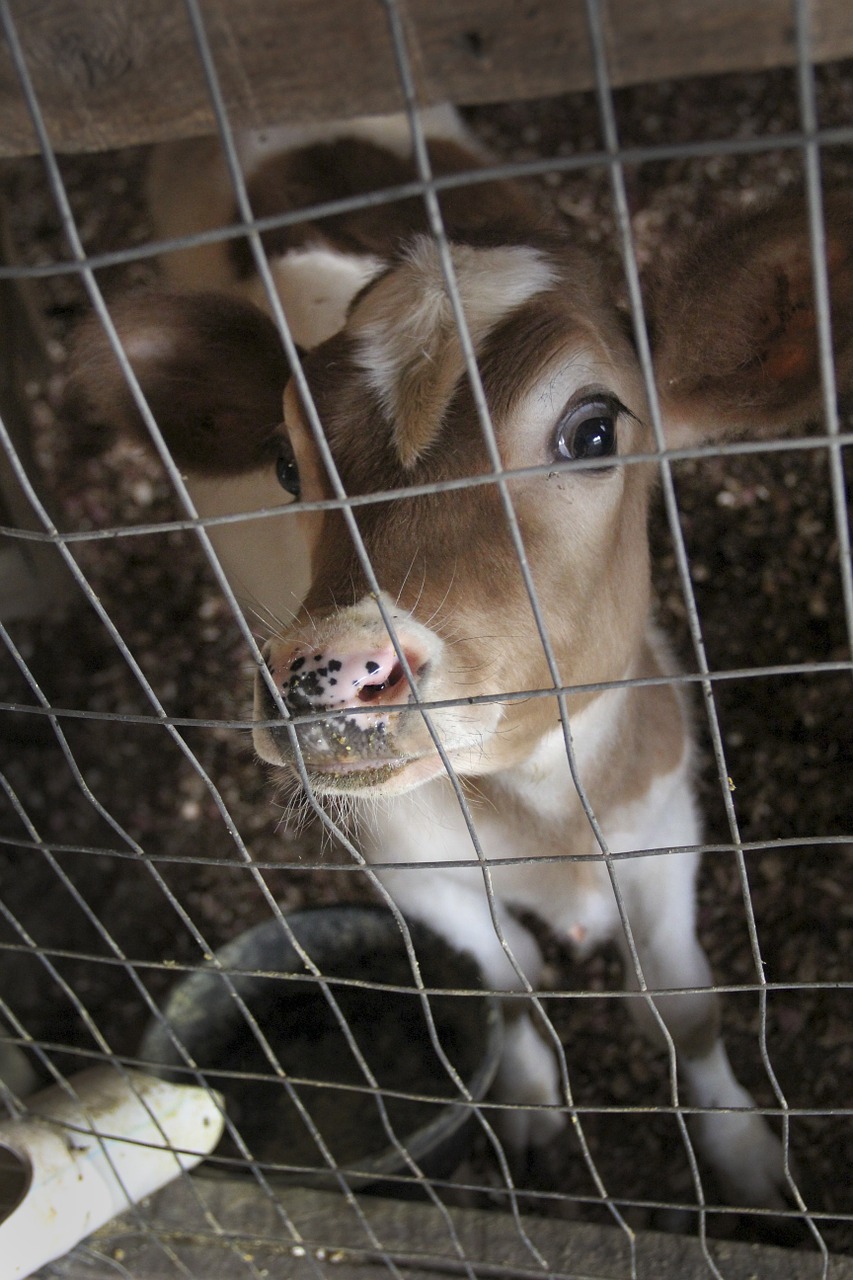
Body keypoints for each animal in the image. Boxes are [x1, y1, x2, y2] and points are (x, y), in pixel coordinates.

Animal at [64, 102, 850, 1208]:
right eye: (283, 462)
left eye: (593, 428)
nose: (329, 672)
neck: (538, 811)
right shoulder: (407, 862)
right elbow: (503, 978)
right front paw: (527, 1105)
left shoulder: (663, 821)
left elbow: (684, 1005)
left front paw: (745, 1156)